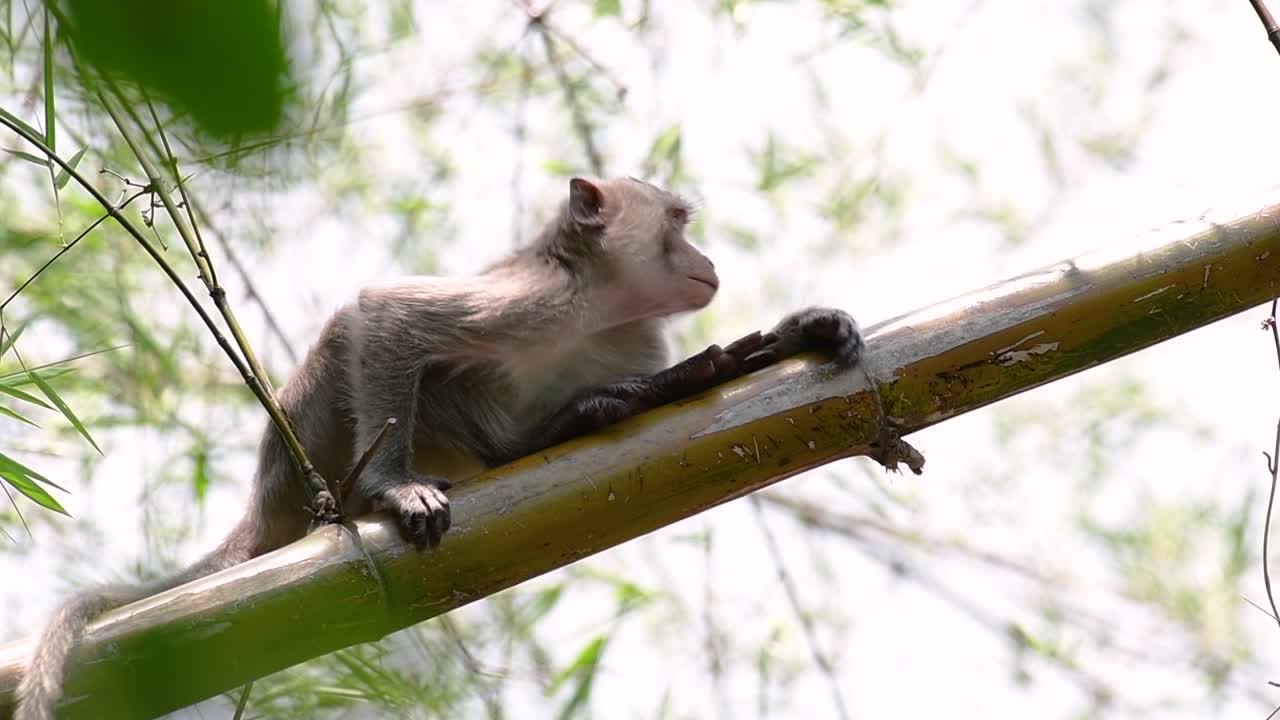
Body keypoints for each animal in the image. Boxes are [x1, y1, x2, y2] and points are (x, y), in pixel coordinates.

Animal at [16, 176, 863, 719]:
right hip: (312, 442)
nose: (707, 259)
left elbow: (704, 375)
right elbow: (386, 316)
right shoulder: (530, 301)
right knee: (366, 350)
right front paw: (397, 489)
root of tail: (270, 499)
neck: (597, 311)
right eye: (679, 222)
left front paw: (796, 334)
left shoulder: (636, 338)